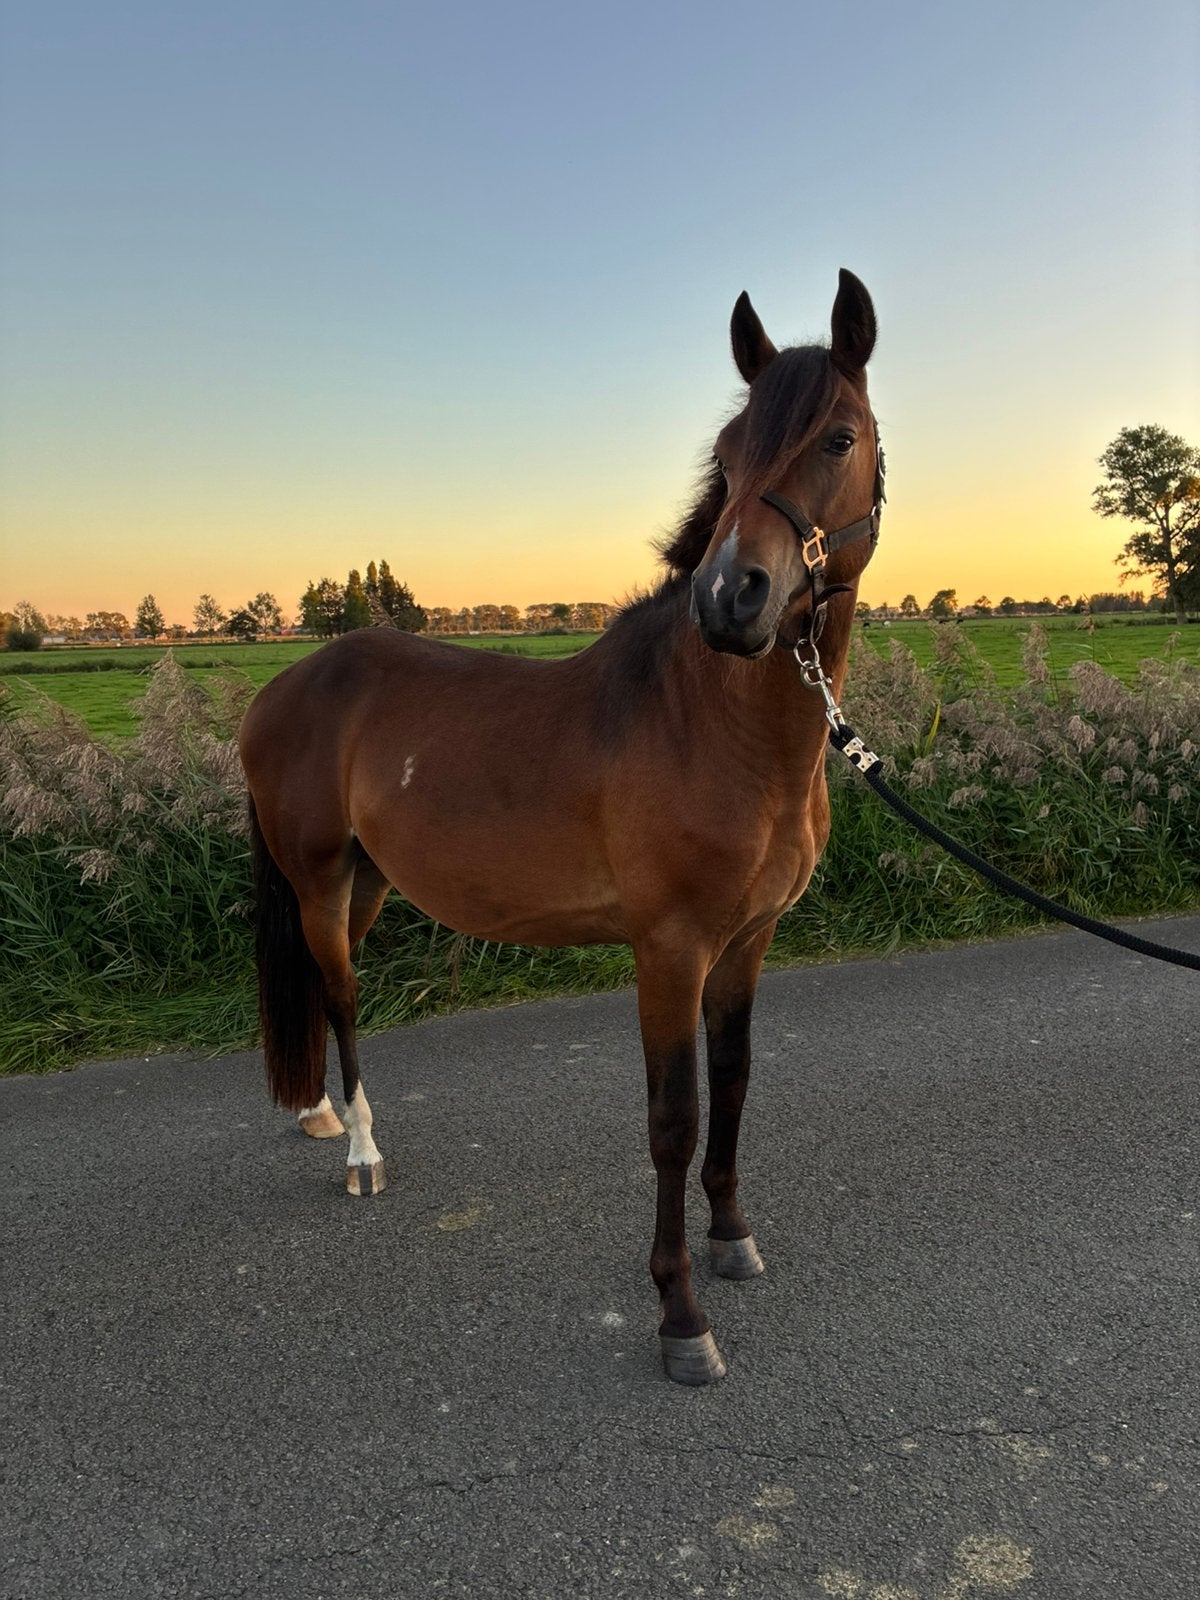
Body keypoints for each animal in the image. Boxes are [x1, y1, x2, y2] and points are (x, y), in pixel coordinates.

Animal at [239, 269, 883, 1384]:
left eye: (839, 438)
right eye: (727, 452)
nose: (732, 597)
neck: (709, 721)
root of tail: (279, 690)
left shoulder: (747, 943)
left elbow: (734, 1085)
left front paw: (732, 1239)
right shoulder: (668, 950)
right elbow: (674, 1119)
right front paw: (681, 1316)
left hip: (365, 883)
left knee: (323, 993)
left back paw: (322, 1114)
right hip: (318, 881)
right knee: (346, 998)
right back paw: (363, 1150)